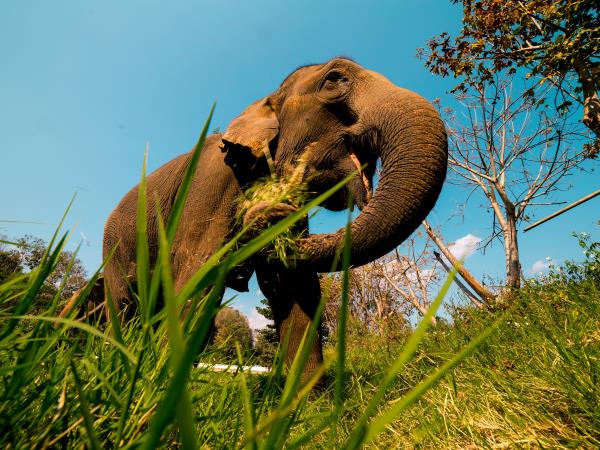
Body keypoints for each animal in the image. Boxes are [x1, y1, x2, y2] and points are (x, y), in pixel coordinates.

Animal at [99, 56, 446, 380]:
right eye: (335, 79)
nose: (266, 211)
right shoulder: (209, 187)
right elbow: (198, 275)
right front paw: (163, 390)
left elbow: (291, 284)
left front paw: (307, 404)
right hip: (114, 249)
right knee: (123, 304)